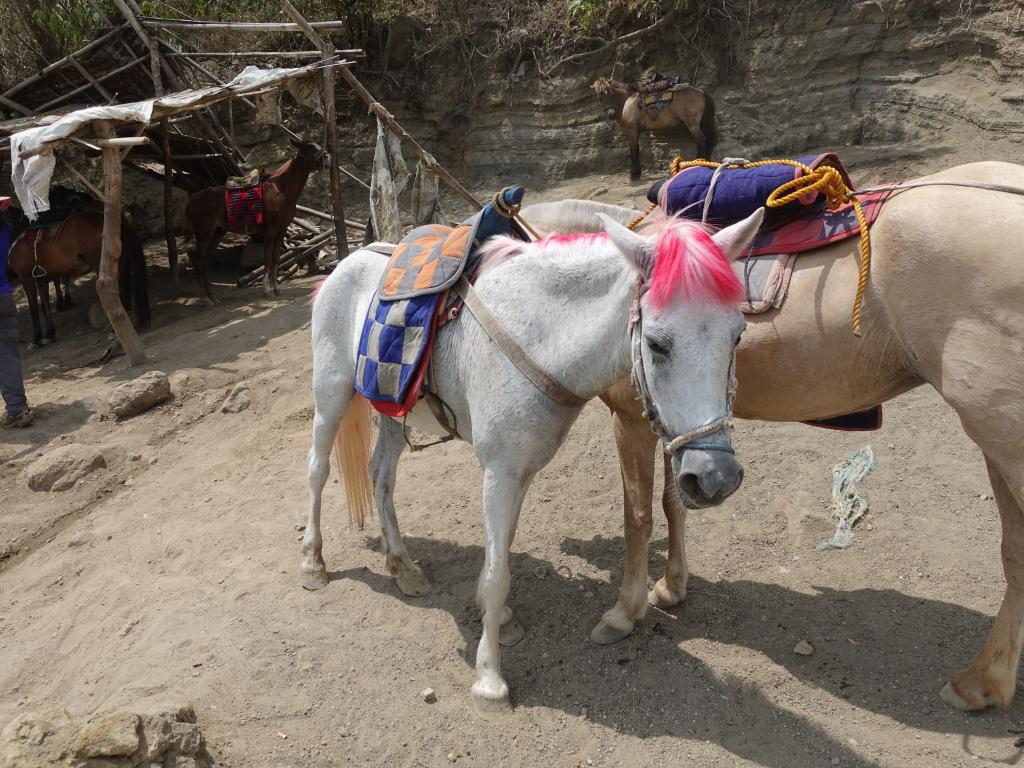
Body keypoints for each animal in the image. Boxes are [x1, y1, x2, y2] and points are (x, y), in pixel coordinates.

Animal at [8, 207, 149, 346]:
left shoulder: (26, 278)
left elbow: (34, 309)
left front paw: (36, 339)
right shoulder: (41, 279)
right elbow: (45, 307)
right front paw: (49, 335)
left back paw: (115, 331)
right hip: (122, 266)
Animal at [186, 138, 323, 303]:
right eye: (310, 149)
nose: (327, 157)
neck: (281, 190)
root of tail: (191, 201)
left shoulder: (281, 231)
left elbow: (276, 259)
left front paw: (277, 288)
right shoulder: (270, 231)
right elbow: (267, 260)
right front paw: (268, 290)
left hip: (217, 234)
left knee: (204, 263)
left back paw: (213, 299)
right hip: (204, 234)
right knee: (198, 262)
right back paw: (205, 298)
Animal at [299, 207, 765, 712]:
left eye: (738, 335)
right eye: (658, 344)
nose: (715, 477)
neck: (540, 336)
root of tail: (350, 261)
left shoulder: (519, 470)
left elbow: (499, 554)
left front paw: (499, 619)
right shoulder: (500, 473)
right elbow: (497, 572)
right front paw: (489, 679)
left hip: (390, 409)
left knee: (381, 477)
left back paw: (403, 568)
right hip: (331, 394)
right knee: (317, 471)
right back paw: (313, 563)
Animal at [532, 159, 1024, 712]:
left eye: (657, 342)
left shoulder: (631, 418)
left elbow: (637, 515)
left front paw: (624, 611)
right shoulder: (675, 423)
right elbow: (674, 501)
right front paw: (672, 587)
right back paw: (986, 680)